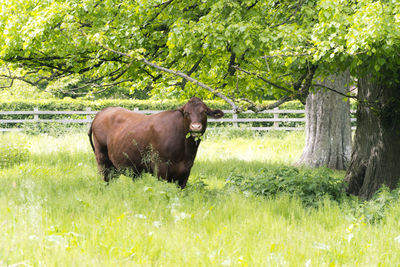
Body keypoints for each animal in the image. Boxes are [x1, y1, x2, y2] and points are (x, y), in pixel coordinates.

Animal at [88, 98, 225, 188]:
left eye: (204, 112)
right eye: (187, 112)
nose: (195, 127)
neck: (185, 149)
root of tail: (102, 111)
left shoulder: (186, 170)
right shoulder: (160, 167)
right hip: (102, 159)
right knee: (106, 178)